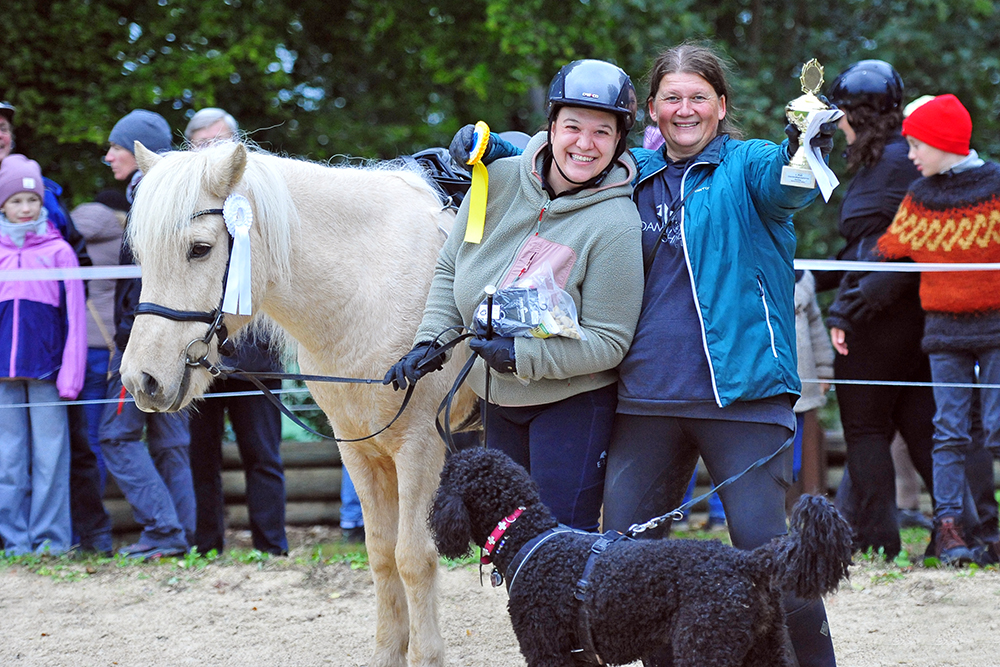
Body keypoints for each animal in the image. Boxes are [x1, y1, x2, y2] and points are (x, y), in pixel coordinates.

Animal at [119, 144, 478, 667]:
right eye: (143, 256)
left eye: (199, 249)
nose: (140, 380)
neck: (371, 282)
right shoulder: (361, 451)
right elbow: (380, 554)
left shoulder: (419, 449)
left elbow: (414, 557)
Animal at [430, 446, 852, 667]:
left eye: (446, 475)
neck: (527, 532)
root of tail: (748, 562)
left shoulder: (546, 651)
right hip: (763, 650)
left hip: (705, 646)